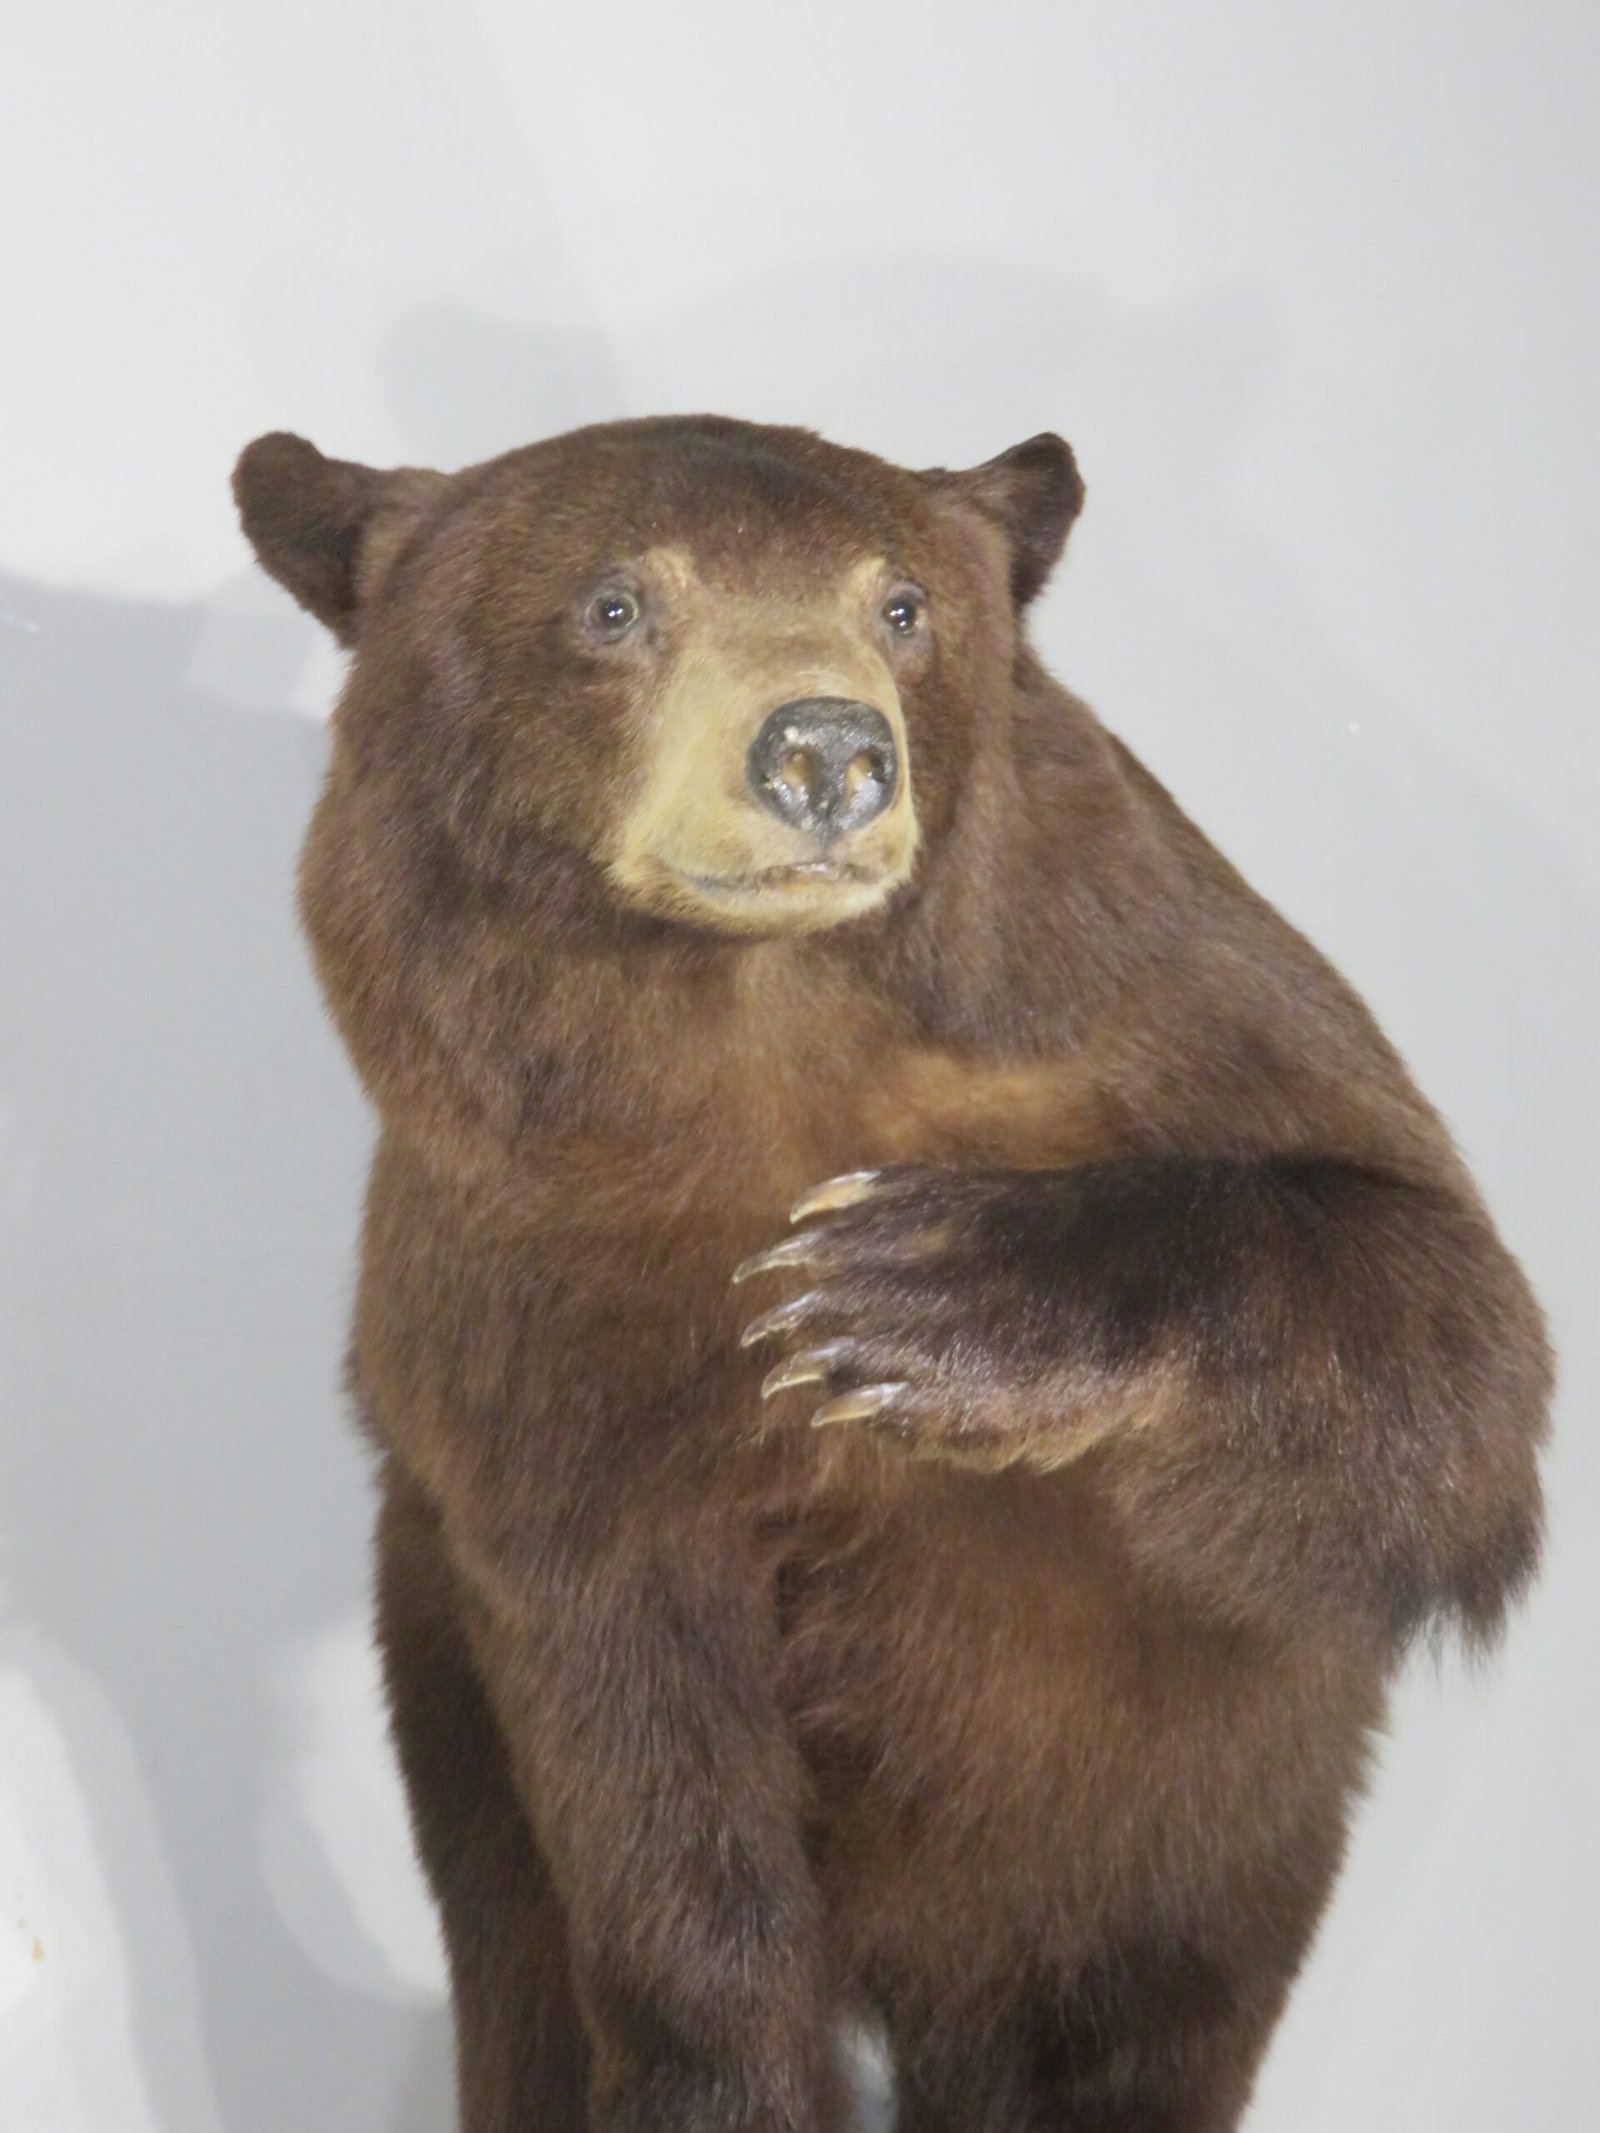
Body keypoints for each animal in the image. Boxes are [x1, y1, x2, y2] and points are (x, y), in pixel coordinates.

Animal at [233, 413, 1552, 2133]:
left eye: (903, 604)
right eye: (614, 603)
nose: (823, 750)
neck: (765, 1018)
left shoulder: (1161, 991)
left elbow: (1448, 1336)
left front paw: (903, 1297)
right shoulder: (522, 1286)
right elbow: (642, 1747)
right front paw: (721, 2073)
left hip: (1180, 1841)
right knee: (518, 1965)